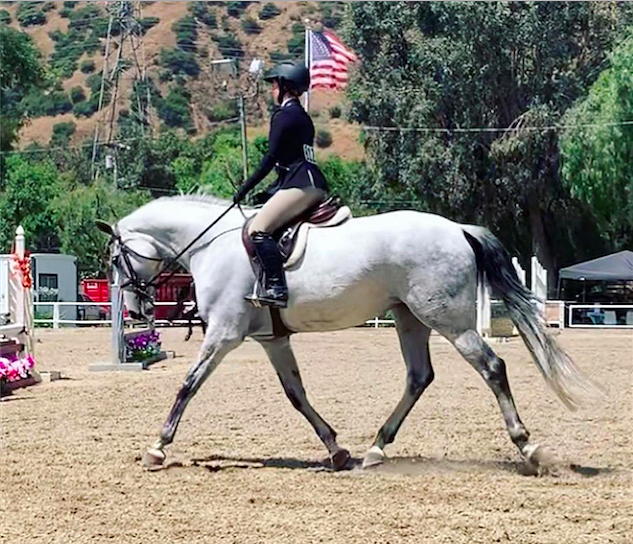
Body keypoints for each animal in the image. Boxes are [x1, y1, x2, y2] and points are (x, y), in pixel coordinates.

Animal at [97, 196, 592, 472]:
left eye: (116, 259)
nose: (136, 308)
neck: (210, 244)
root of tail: (458, 229)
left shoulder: (223, 334)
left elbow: (187, 386)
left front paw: (156, 448)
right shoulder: (273, 339)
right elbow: (297, 395)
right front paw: (336, 450)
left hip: (447, 319)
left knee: (492, 367)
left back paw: (528, 448)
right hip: (409, 318)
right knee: (419, 377)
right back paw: (375, 449)